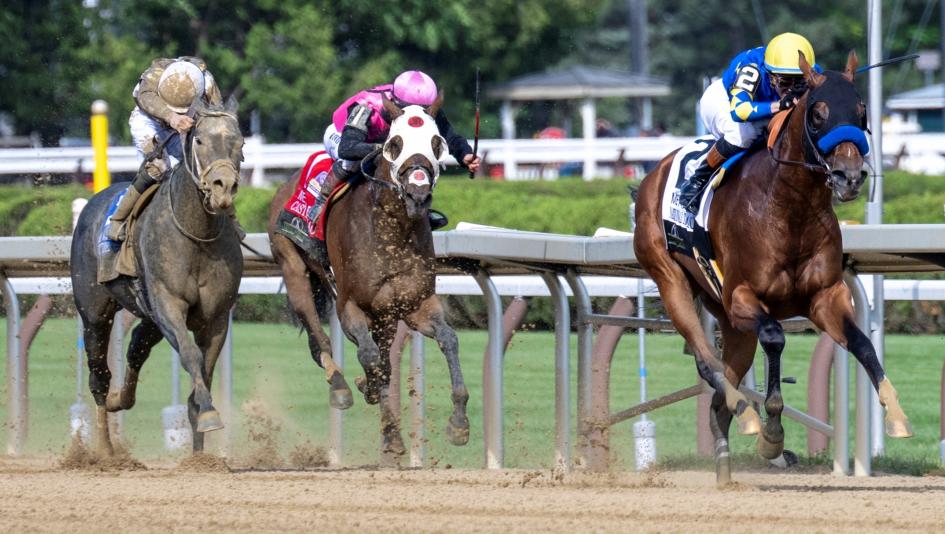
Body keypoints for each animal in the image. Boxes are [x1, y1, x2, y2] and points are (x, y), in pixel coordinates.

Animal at [71, 98, 244, 455]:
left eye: (240, 143)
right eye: (200, 141)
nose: (223, 188)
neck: (196, 234)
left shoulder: (217, 317)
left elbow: (204, 368)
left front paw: (199, 449)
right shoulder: (168, 304)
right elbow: (191, 355)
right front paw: (208, 414)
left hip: (148, 315)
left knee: (137, 344)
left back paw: (121, 399)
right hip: (94, 312)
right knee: (98, 374)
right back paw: (105, 449)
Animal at [268, 94, 469, 455]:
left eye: (437, 143)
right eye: (394, 144)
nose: (418, 194)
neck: (392, 232)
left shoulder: (415, 304)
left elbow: (448, 339)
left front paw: (459, 423)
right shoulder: (350, 305)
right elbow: (371, 357)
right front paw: (367, 385)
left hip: (385, 315)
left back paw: (391, 434)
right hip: (292, 264)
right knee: (318, 331)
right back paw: (341, 386)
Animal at [634, 51, 912, 485]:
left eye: (862, 110)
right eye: (818, 113)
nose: (849, 177)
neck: (788, 210)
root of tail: (652, 173)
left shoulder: (825, 297)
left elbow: (863, 345)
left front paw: (896, 414)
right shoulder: (742, 297)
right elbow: (776, 337)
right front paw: (771, 435)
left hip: (730, 324)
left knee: (720, 390)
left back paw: (725, 462)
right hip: (672, 281)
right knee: (706, 360)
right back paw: (746, 414)